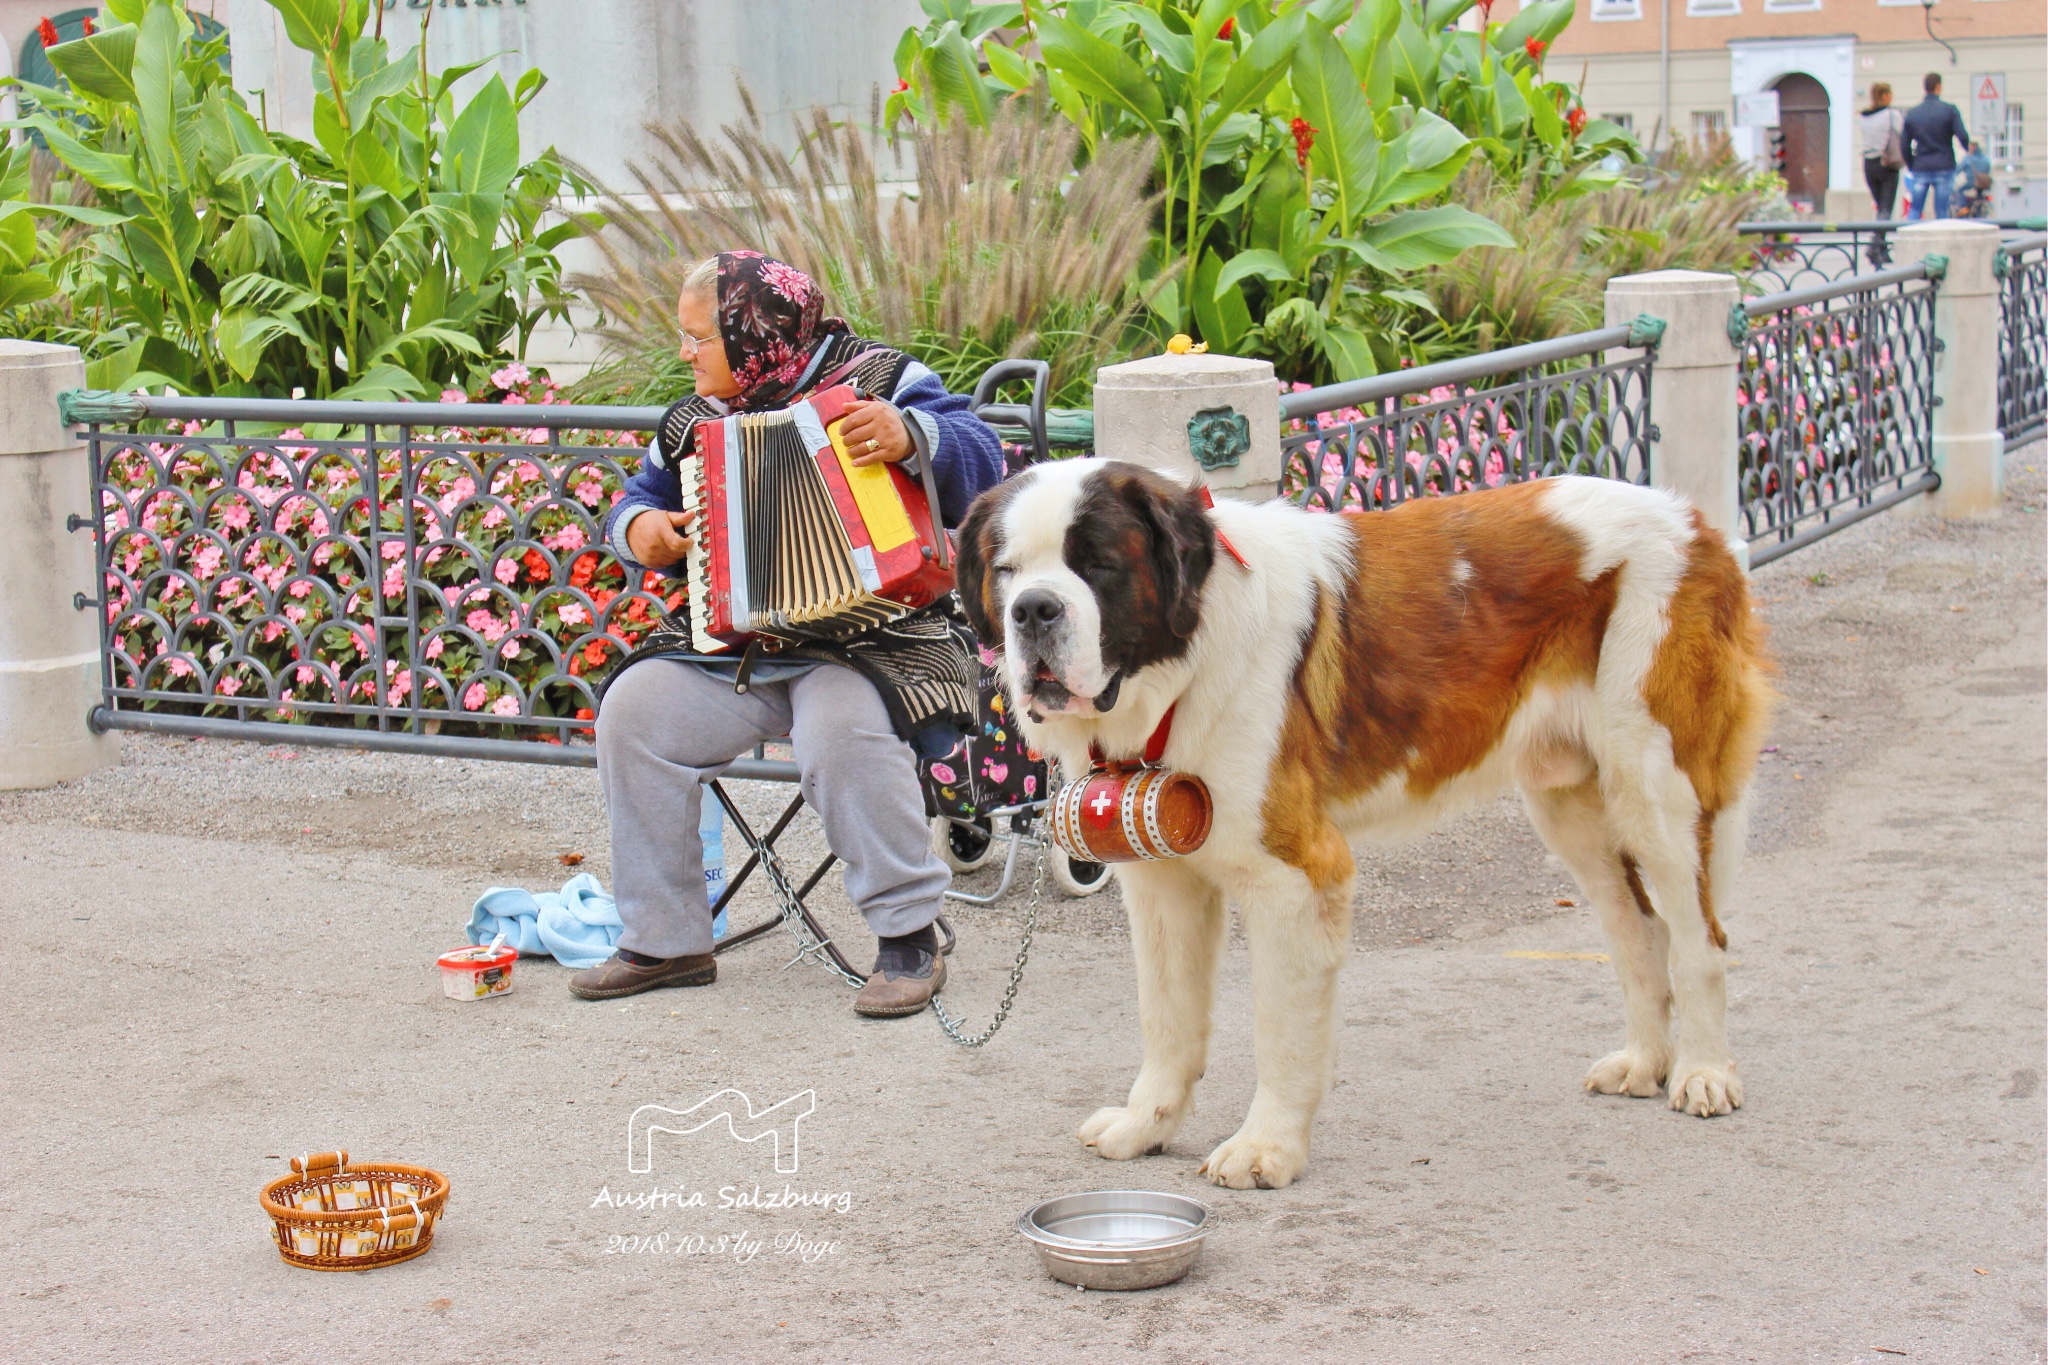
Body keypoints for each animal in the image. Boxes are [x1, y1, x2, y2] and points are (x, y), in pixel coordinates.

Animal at [950, 458, 1769, 1186]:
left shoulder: (1296, 877)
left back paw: (1702, 1072)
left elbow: (1279, 1031)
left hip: (1657, 785)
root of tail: (1697, 522)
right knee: (1639, 929)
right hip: (1574, 804)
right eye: (1008, 570)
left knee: (1700, 937)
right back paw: (1644, 1062)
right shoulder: (1163, 882)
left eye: (1098, 565)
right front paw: (1144, 1125)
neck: (1181, 667)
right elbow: (1169, 1019)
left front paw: (1264, 1149)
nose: (1034, 610)